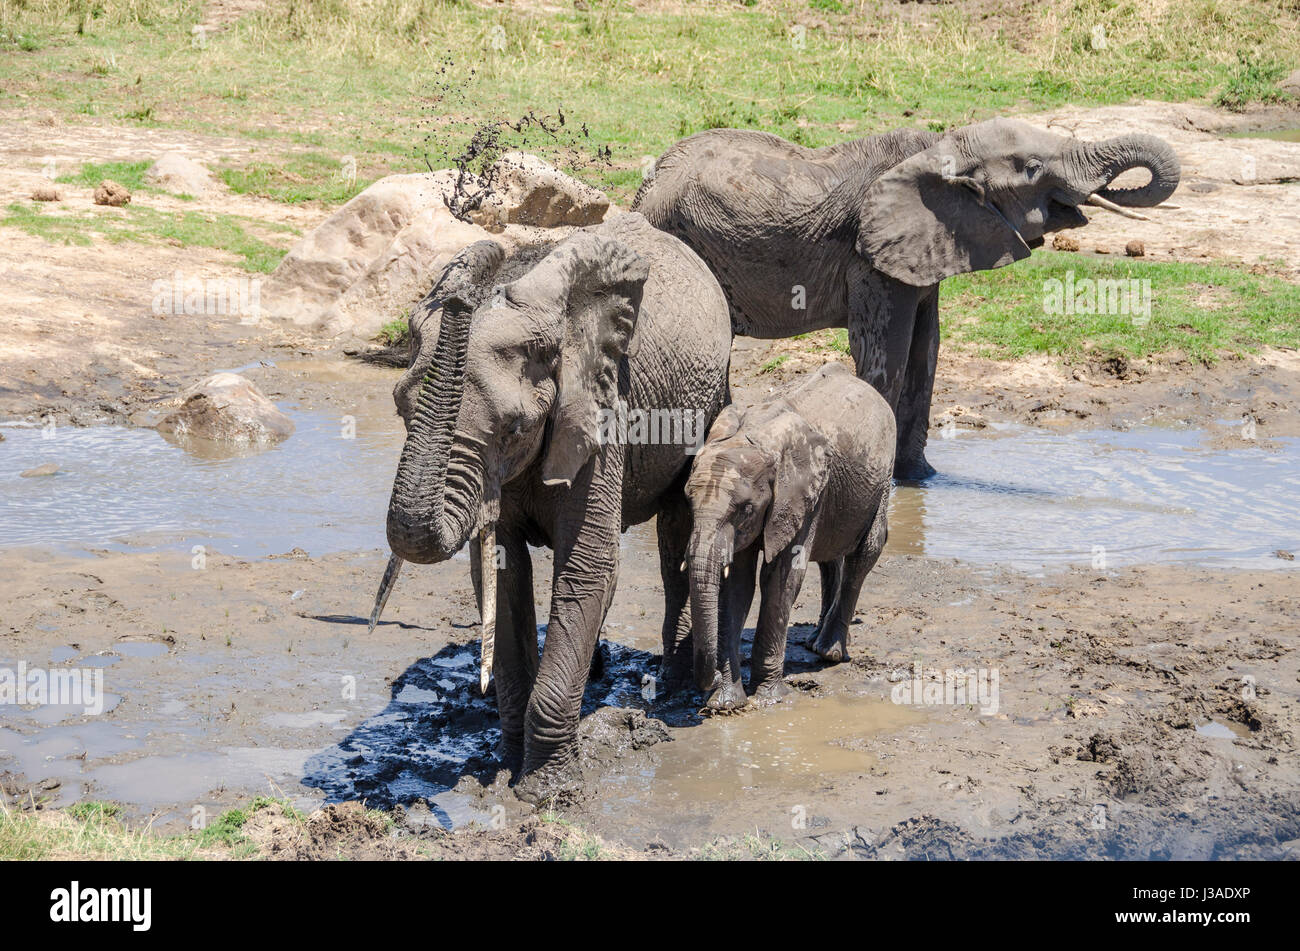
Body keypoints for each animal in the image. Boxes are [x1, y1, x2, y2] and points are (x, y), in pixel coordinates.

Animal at [371, 211, 733, 800]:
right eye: (401, 408)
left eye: (514, 427)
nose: (461, 300)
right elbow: (501, 572)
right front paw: (506, 765)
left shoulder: (603, 405)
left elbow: (585, 566)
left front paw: (545, 792)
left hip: (707, 398)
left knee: (675, 531)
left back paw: (674, 681)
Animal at [634, 114, 1185, 478]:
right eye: (1031, 168)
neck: (940, 150)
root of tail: (645, 186)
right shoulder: (870, 257)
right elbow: (888, 353)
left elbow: (927, 350)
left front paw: (923, 480)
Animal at [686, 361, 889, 711]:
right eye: (687, 500)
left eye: (746, 509)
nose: (707, 681)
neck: (753, 437)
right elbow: (737, 583)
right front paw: (726, 703)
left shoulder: (799, 494)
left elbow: (781, 578)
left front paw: (770, 699)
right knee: (830, 557)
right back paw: (814, 643)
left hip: (882, 479)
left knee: (863, 557)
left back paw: (830, 652)